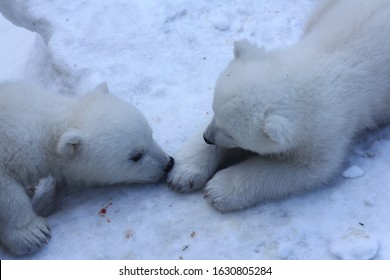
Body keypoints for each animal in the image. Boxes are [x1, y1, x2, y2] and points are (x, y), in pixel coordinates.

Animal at [167, 0, 390, 211]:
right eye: (214, 112)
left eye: (230, 134)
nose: (208, 137)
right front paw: (183, 172)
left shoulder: (329, 130)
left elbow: (306, 169)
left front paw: (217, 189)